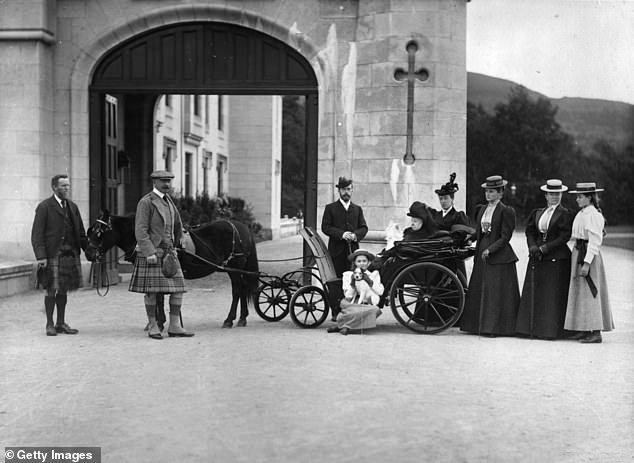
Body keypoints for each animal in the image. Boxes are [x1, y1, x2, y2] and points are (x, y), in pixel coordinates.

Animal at [86, 210, 260, 330]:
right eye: (91, 230)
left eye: (99, 232)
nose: (88, 253)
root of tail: (241, 228)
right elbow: (157, 297)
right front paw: (156, 322)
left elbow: (159, 297)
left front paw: (159, 322)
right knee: (242, 289)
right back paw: (242, 318)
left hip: (235, 267)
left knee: (237, 291)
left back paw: (229, 319)